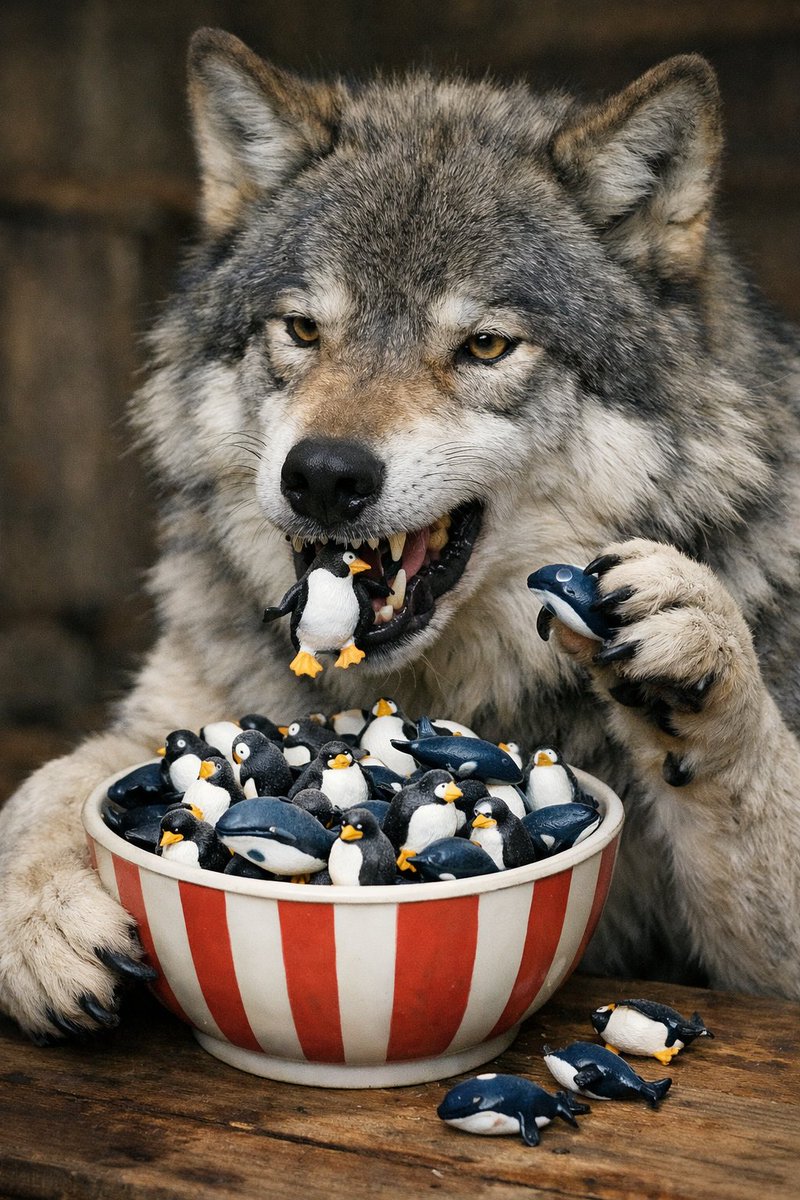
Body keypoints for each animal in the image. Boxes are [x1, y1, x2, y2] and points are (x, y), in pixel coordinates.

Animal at [1, 28, 799, 1041]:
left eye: (486, 346)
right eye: (304, 329)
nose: (323, 474)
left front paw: (701, 652)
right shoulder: (178, 714)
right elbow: (52, 780)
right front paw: (39, 918)